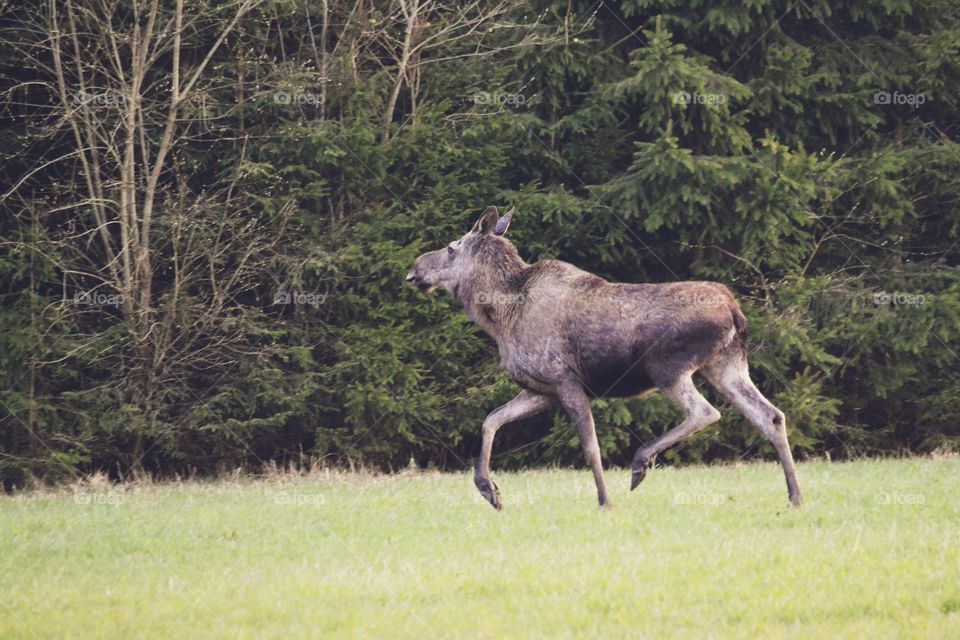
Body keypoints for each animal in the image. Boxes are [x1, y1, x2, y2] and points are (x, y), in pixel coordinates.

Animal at [404, 209, 804, 510]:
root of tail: (735, 310)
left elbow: (590, 446)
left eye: (451, 247)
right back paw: (795, 496)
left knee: (706, 412)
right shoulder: (540, 390)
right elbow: (491, 421)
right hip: (724, 366)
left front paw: (604, 500)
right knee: (771, 416)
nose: (414, 270)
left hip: (667, 367)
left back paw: (641, 463)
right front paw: (490, 490)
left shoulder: (565, 380)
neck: (499, 318)